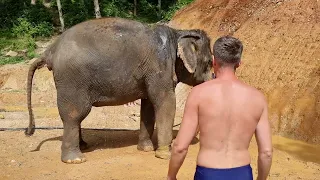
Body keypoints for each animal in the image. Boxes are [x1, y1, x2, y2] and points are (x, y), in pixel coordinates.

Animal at [25, 16, 212, 163]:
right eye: (210, 62)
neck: (177, 33)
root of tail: (50, 50)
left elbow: (148, 105)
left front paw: (146, 149)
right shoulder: (159, 68)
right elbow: (165, 101)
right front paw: (166, 154)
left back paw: (83, 146)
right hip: (72, 80)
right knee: (73, 114)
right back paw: (75, 159)